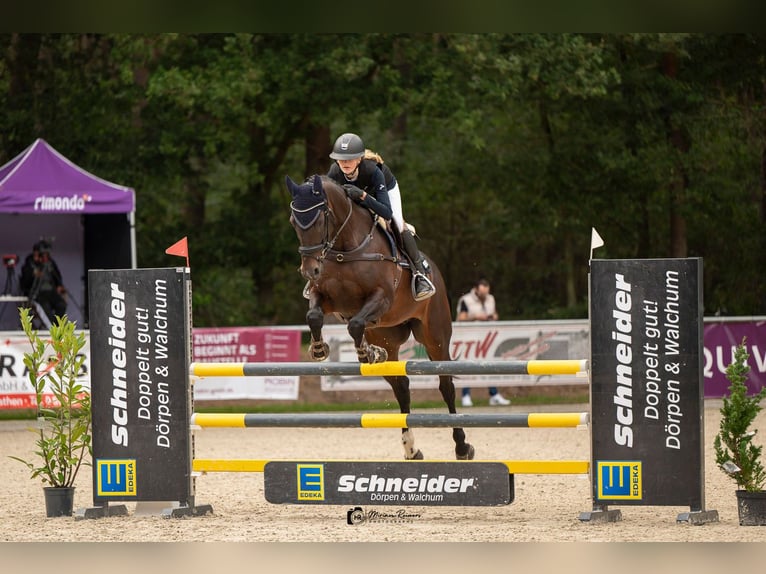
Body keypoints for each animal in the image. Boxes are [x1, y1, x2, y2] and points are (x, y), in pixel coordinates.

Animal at [286, 173, 474, 462]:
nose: (310, 270)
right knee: (401, 386)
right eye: (294, 221)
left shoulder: (381, 298)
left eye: (319, 219)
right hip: (387, 335)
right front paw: (320, 349)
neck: (345, 248)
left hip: (435, 336)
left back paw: (462, 446)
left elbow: (354, 324)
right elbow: (315, 316)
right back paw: (411, 448)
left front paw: (365, 353)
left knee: (446, 386)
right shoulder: (325, 297)